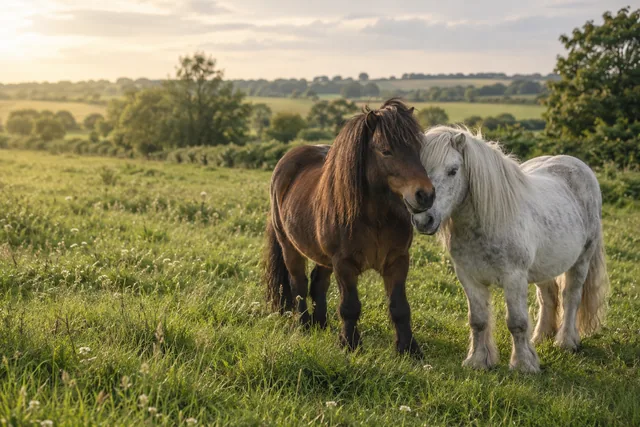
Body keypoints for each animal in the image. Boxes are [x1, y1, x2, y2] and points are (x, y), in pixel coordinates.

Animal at [264, 99, 435, 356]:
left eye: (418, 148)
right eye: (385, 150)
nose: (425, 195)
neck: (375, 217)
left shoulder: (397, 261)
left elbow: (400, 307)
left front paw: (408, 349)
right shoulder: (344, 263)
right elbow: (350, 306)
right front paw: (350, 344)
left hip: (322, 257)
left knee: (318, 283)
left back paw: (321, 324)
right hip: (290, 247)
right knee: (299, 285)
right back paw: (303, 325)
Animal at [412, 126, 609, 372]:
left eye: (453, 170)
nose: (423, 219)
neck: (485, 224)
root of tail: (578, 165)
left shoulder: (513, 277)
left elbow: (517, 322)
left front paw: (523, 365)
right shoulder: (469, 277)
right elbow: (478, 320)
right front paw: (478, 361)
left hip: (582, 259)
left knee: (570, 296)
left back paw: (566, 342)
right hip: (544, 266)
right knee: (548, 298)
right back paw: (541, 338)